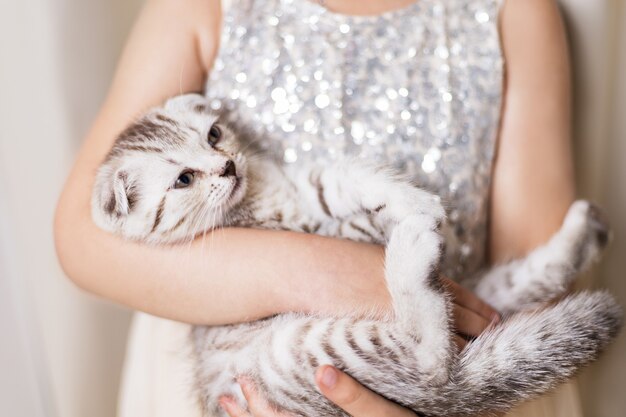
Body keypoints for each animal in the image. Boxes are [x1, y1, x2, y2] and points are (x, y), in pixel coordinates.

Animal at [91, 94, 620, 416]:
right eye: (183, 179)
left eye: (214, 136)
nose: (226, 167)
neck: (257, 197)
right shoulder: (314, 229)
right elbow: (348, 208)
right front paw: (418, 212)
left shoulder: (311, 188)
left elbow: (343, 178)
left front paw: (407, 197)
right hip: (309, 353)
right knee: (431, 361)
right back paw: (413, 247)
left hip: (479, 296)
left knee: (522, 286)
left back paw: (588, 229)